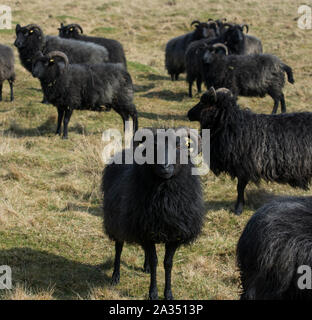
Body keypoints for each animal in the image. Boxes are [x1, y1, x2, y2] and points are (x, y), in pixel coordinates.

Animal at [102, 127, 205, 300]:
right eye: (153, 147)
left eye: (179, 146)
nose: (165, 167)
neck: (164, 196)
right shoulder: (144, 232)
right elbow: (155, 260)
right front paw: (153, 293)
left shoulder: (173, 234)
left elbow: (167, 263)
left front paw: (168, 293)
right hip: (117, 222)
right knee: (119, 248)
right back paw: (116, 276)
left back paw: (146, 268)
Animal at [188, 86, 312, 215]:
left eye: (204, 102)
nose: (188, 114)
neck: (232, 125)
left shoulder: (243, 167)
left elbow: (240, 187)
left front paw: (238, 209)